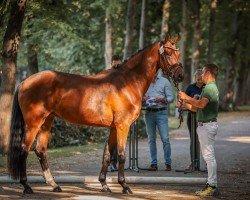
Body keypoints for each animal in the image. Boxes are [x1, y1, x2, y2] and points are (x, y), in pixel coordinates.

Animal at [7, 34, 184, 194]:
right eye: (168, 54)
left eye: (178, 53)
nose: (180, 76)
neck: (128, 82)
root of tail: (24, 82)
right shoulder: (123, 126)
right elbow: (121, 155)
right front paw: (124, 186)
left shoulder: (113, 127)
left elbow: (107, 155)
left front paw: (104, 184)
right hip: (34, 123)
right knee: (24, 150)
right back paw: (26, 186)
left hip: (47, 121)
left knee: (40, 150)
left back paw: (54, 185)